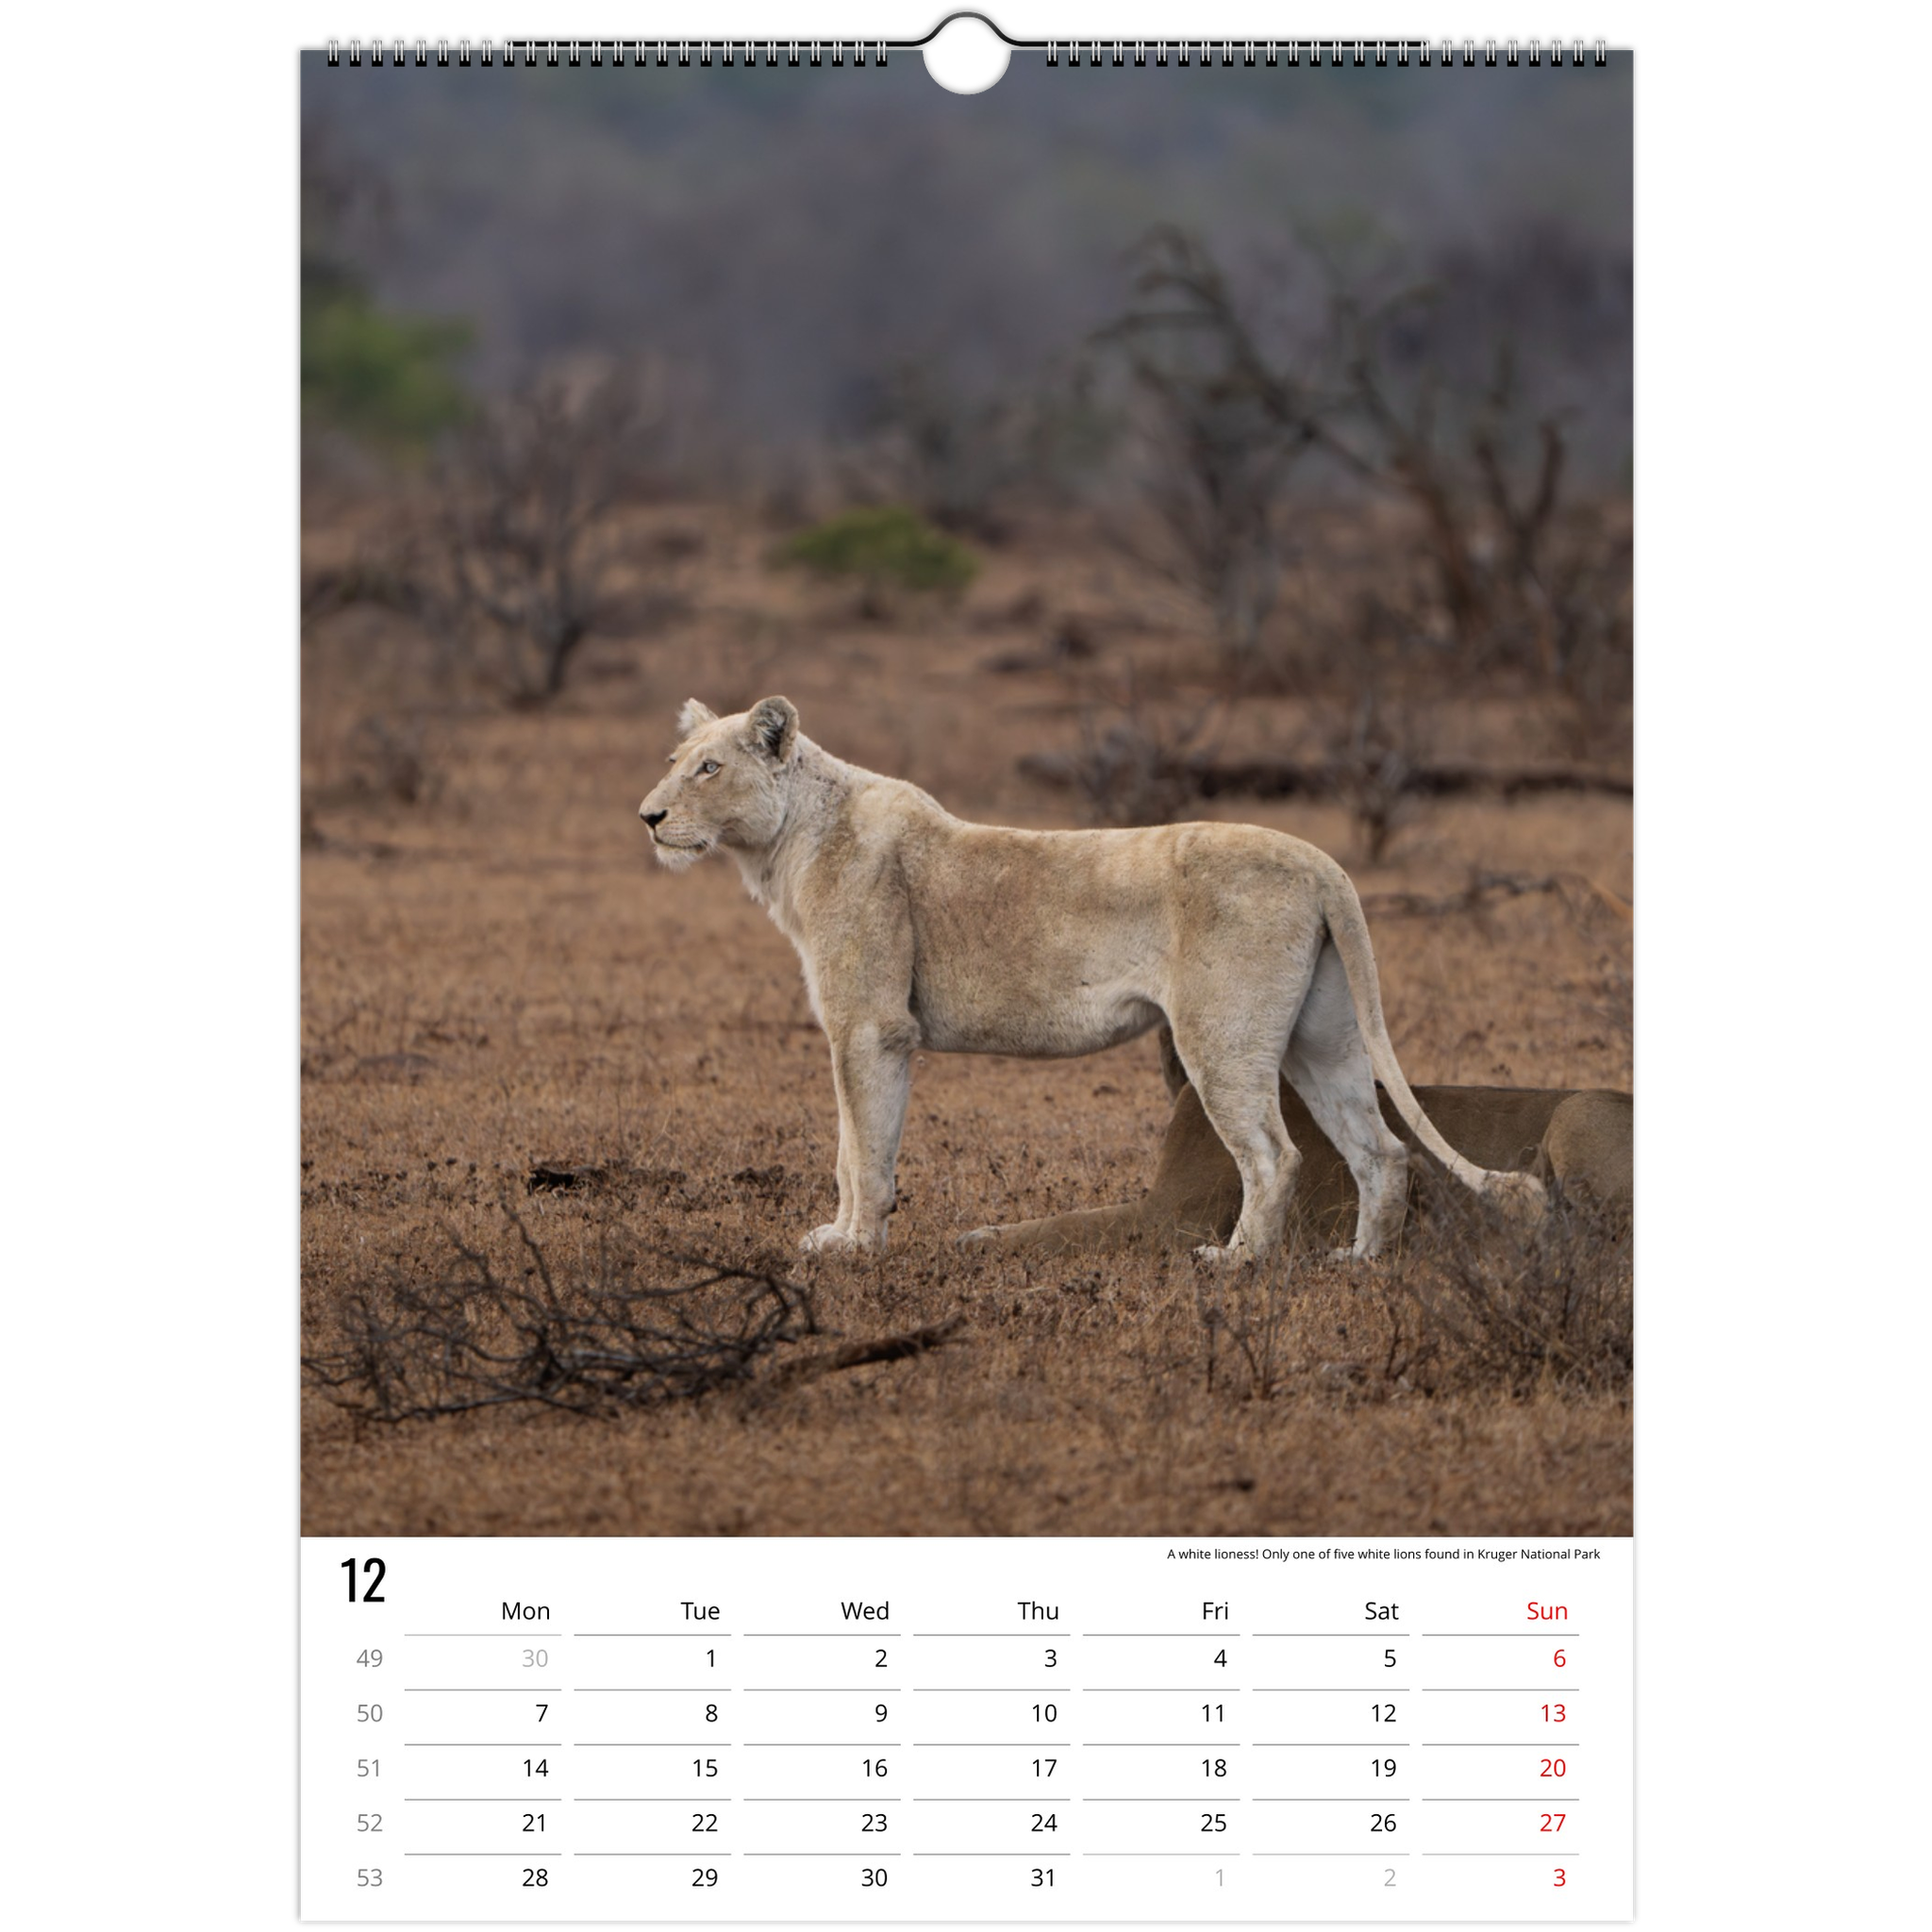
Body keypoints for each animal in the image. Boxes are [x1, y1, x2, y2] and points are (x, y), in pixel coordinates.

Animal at [639, 697, 1545, 1262]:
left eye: (709, 769)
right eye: (676, 760)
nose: (647, 816)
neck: (787, 847)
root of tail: (1323, 863)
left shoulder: (872, 1026)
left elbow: (864, 1148)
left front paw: (857, 1249)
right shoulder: (856, 1029)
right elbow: (843, 1146)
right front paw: (836, 1238)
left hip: (1222, 1036)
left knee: (1274, 1154)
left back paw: (1235, 1264)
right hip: (1321, 1036)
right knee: (1382, 1150)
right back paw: (1357, 1263)